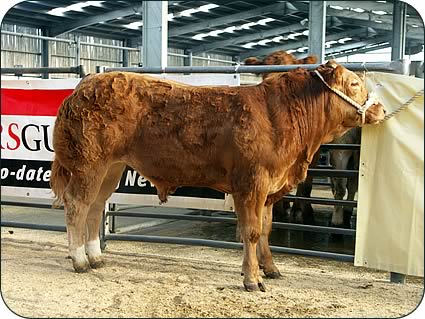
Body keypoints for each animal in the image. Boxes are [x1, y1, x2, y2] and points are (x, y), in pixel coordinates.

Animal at [50, 61, 384, 294]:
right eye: (354, 83)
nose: (380, 109)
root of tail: (84, 86)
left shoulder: (270, 189)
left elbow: (266, 229)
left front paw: (270, 268)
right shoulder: (251, 184)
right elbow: (251, 232)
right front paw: (252, 279)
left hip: (111, 168)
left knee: (95, 207)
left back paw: (96, 257)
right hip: (89, 165)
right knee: (77, 204)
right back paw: (79, 260)